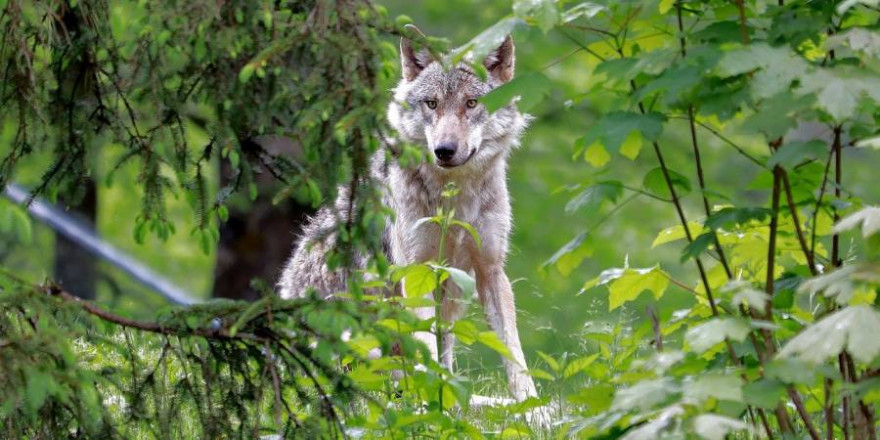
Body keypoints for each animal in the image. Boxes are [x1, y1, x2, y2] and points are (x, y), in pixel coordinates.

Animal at [278, 25, 540, 408]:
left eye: (471, 103)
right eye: (432, 104)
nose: (444, 150)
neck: (453, 201)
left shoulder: (490, 269)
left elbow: (514, 352)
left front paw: (533, 408)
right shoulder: (417, 271)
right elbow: (427, 354)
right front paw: (432, 409)